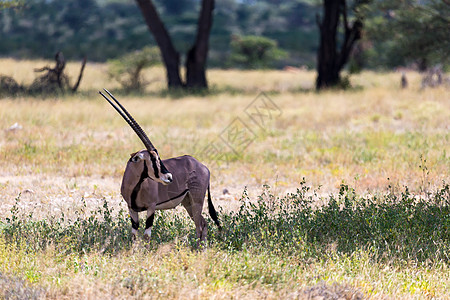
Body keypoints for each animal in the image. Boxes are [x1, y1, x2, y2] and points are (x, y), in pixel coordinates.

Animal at [100, 89, 223, 244]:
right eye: (153, 158)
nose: (169, 177)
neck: (135, 186)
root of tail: (203, 167)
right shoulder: (131, 209)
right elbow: (134, 235)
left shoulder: (151, 208)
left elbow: (147, 235)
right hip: (188, 202)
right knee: (202, 223)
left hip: (197, 201)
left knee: (200, 225)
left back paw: (200, 248)